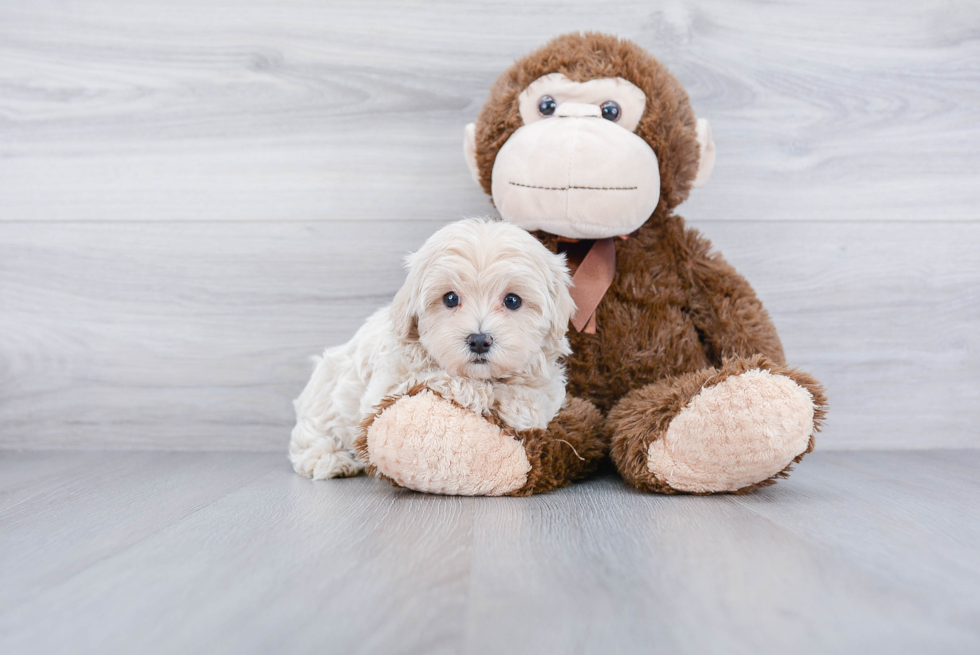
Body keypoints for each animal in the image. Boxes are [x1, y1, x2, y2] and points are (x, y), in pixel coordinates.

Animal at [288, 218, 576, 480]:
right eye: (450, 298)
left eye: (513, 301)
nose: (479, 340)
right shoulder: (389, 384)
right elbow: (441, 377)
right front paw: (480, 394)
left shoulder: (548, 378)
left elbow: (540, 397)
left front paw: (519, 405)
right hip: (324, 399)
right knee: (311, 437)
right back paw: (332, 461)